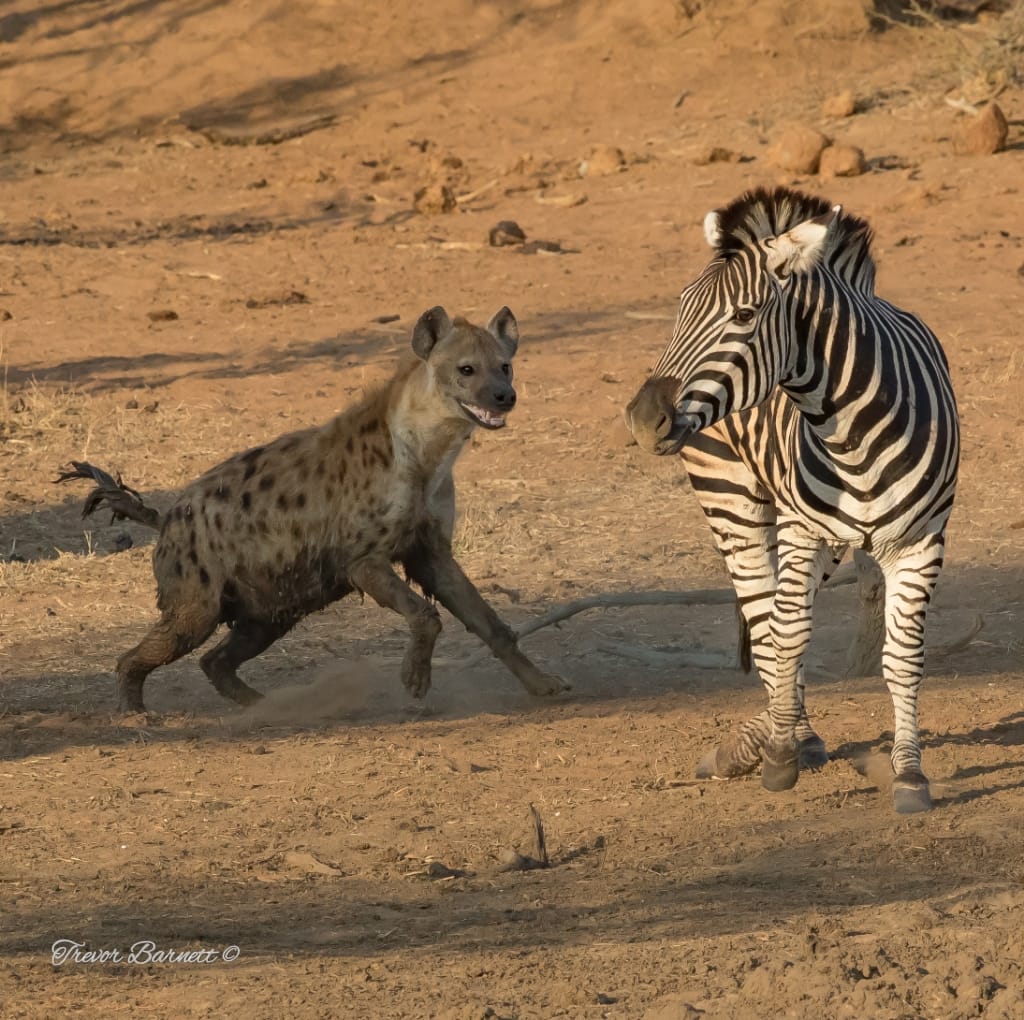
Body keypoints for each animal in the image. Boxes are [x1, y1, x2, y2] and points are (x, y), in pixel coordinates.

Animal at [625, 187, 959, 814]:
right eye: (680, 308)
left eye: (744, 315)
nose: (641, 418)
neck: (852, 434)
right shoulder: (802, 530)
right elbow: (788, 632)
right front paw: (779, 753)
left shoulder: (920, 542)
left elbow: (902, 656)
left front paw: (908, 774)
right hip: (729, 496)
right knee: (766, 618)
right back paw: (781, 738)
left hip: (825, 536)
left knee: (781, 618)